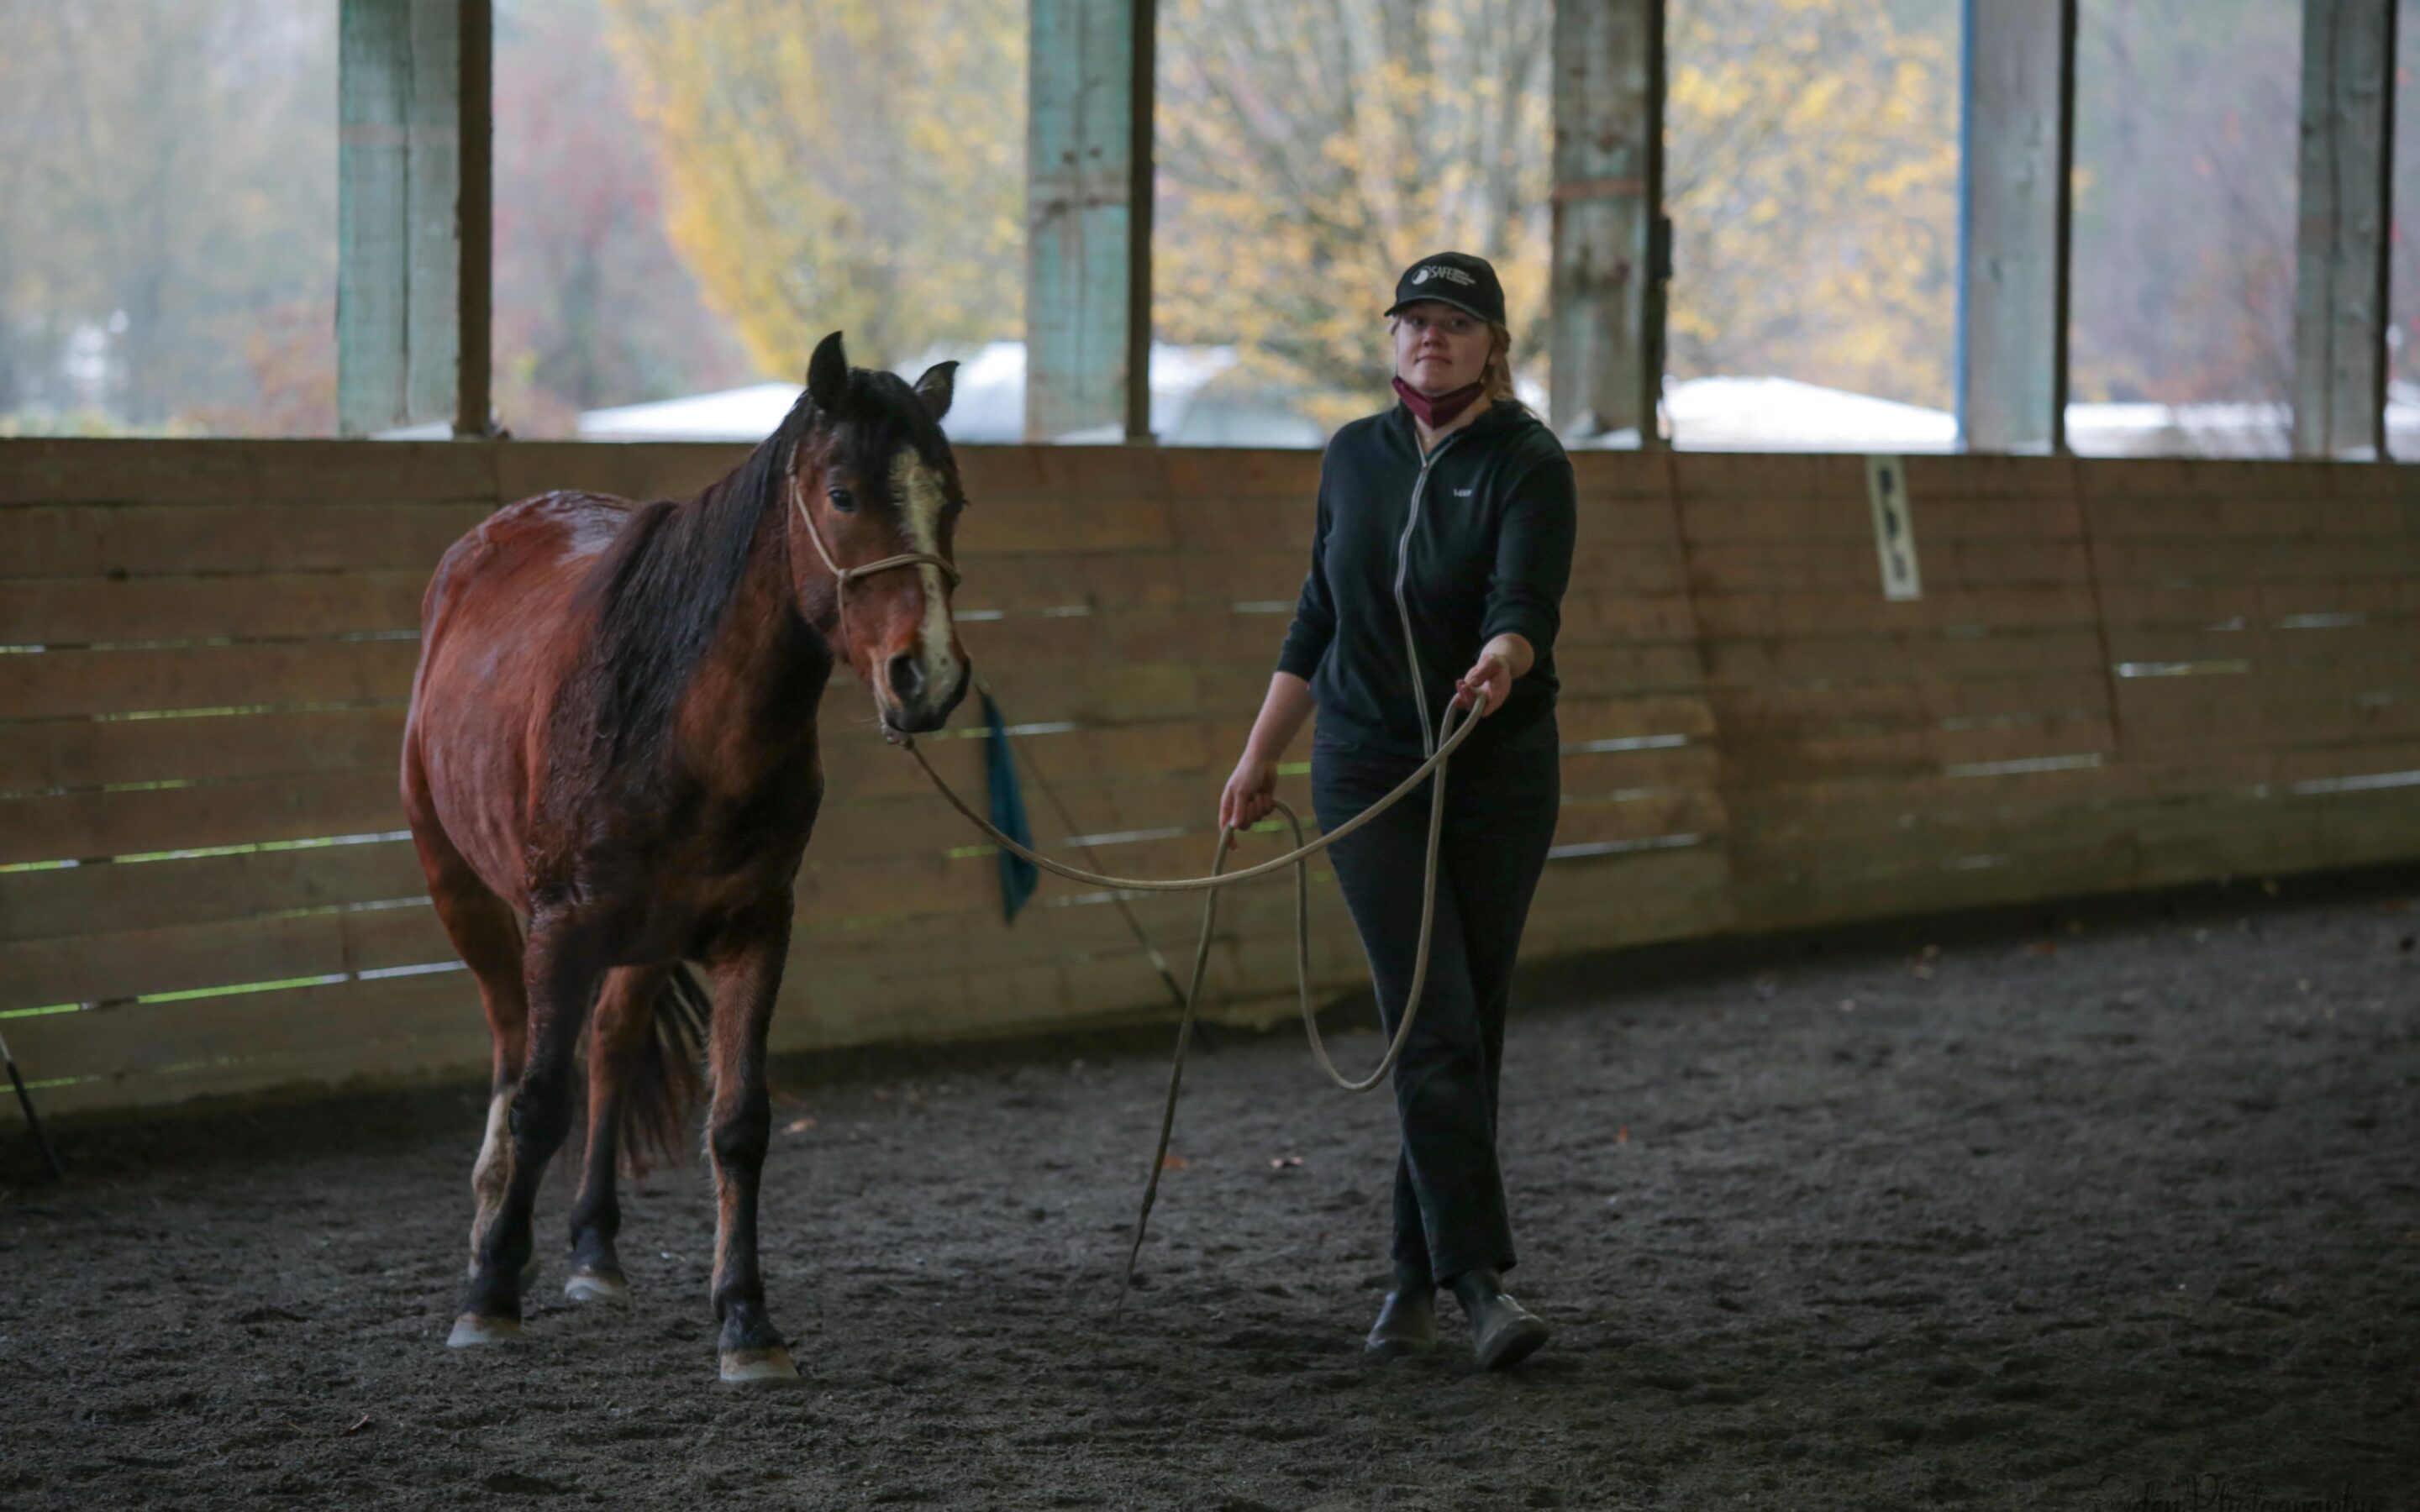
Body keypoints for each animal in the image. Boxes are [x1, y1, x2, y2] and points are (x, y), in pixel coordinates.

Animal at [402, 328, 968, 1383]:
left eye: (949, 500)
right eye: (843, 494)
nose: (931, 677)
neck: (675, 719)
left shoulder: (756, 928)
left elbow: (738, 1123)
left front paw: (746, 1319)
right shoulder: (560, 926)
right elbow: (540, 1099)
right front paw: (490, 1293)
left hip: (648, 934)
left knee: (614, 1046)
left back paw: (593, 1251)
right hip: (461, 890)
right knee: (513, 1044)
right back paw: (492, 1221)